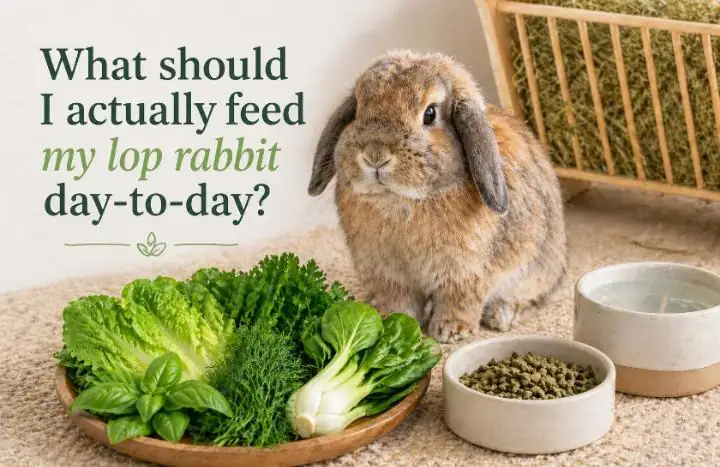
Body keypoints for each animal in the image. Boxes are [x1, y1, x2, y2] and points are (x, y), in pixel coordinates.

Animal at [307, 50, 567, 343]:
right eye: (360, 106)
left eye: (430, 114)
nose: (375, 156)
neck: (401, 200)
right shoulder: (387, 275)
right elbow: (399, 302)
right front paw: (393, 323)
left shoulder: (466, 274)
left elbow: (460, 301)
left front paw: (451, 331)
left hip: (535, 271)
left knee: (533, 299)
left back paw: (500, 315)